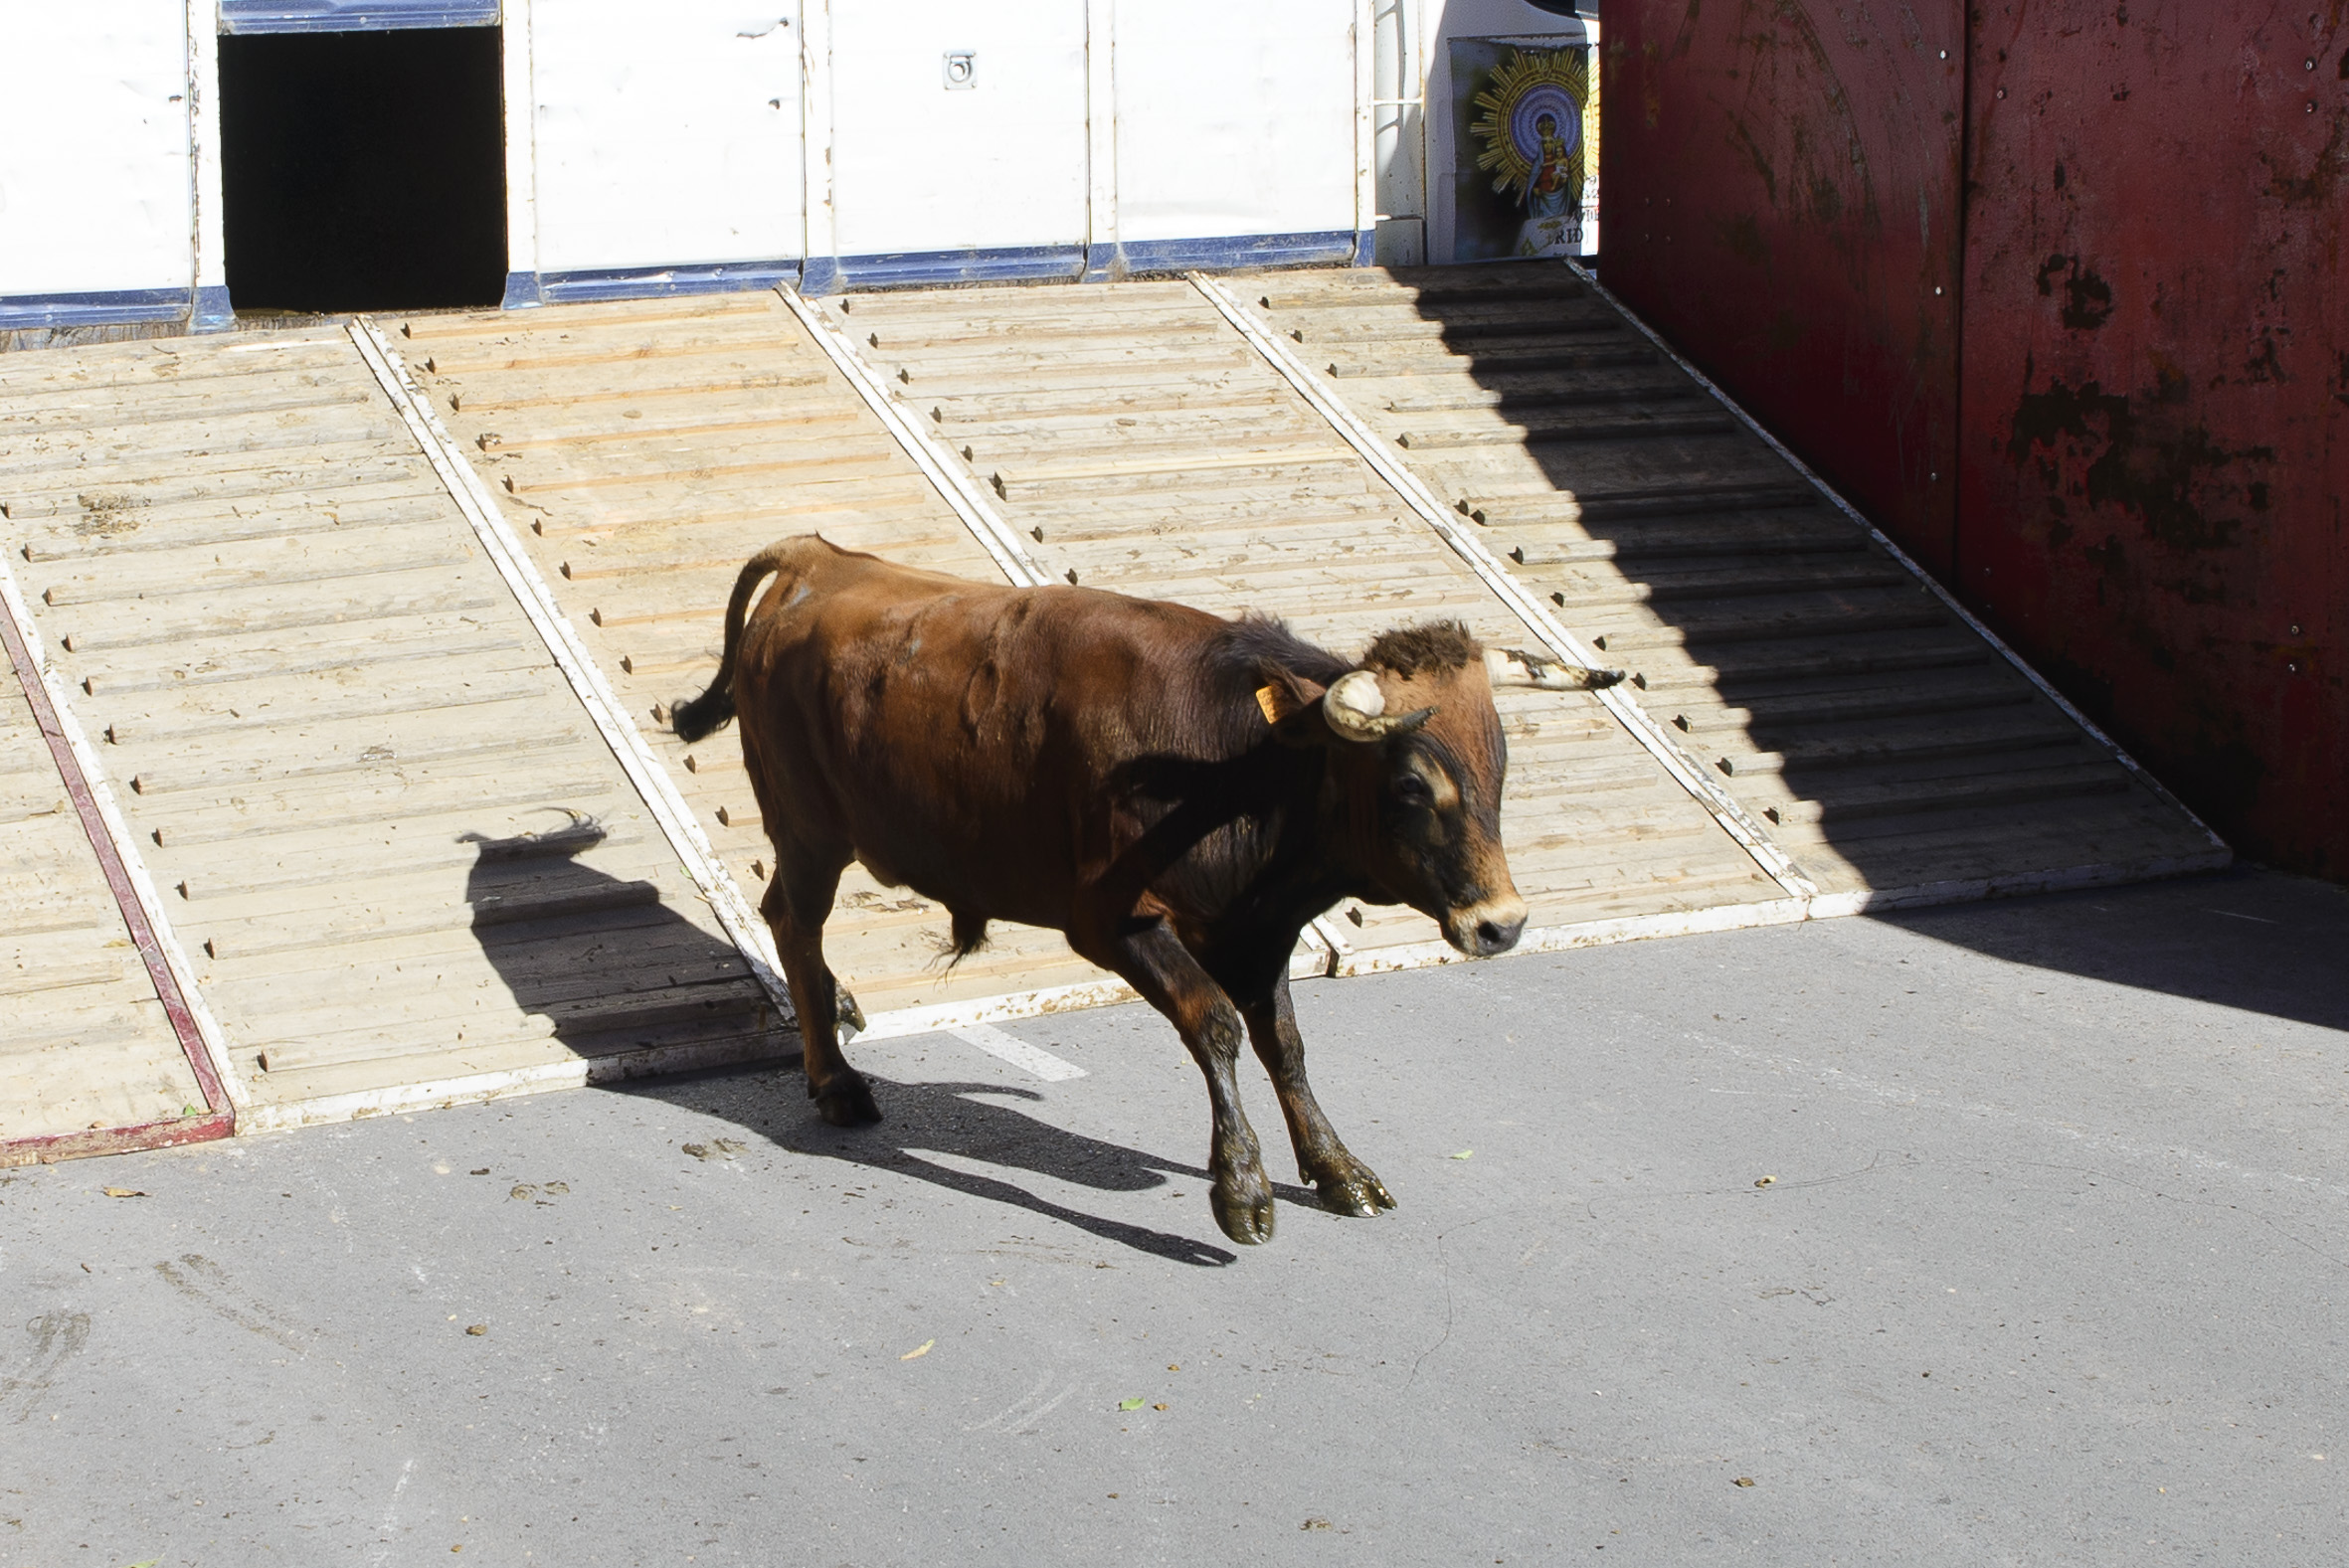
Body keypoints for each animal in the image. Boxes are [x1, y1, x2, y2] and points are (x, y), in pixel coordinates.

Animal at [662, 532, 1616, 1239]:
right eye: (1415, 785)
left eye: (1499, 766)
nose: (1502, 922)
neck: (1234, 761)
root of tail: (818, 558)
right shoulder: (1109, 919)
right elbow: (1216, 1023)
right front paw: (1242, 1185)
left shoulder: (1256, 929)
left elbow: (1287, 1043)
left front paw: (1338, 1167)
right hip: (809, 831)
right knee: (794, 920)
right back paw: (835, 1079)